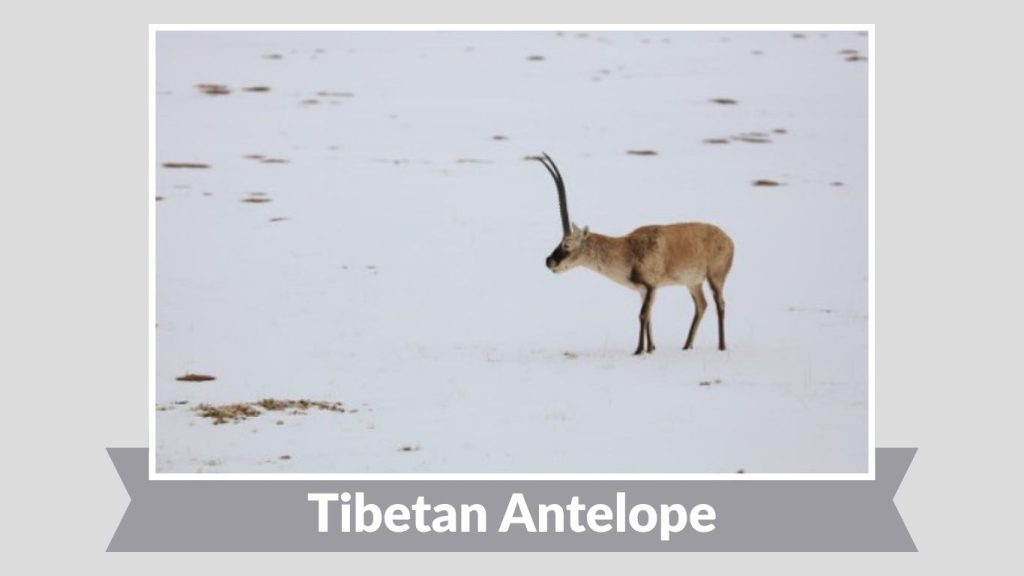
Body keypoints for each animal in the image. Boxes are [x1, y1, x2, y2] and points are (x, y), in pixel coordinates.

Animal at [537, 153, 734, 355]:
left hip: (715, 278)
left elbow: (642, 315)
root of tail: (727, 238)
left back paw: (721, 346)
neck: (627, 249)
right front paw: (651, 348)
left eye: (567, 244)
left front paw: (639, 350)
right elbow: (649, 317)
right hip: (693, 283)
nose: (549, 261)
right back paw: (687, 346)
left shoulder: (651, 286)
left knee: (720, 304)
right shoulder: (644, 290)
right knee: (701, 305)